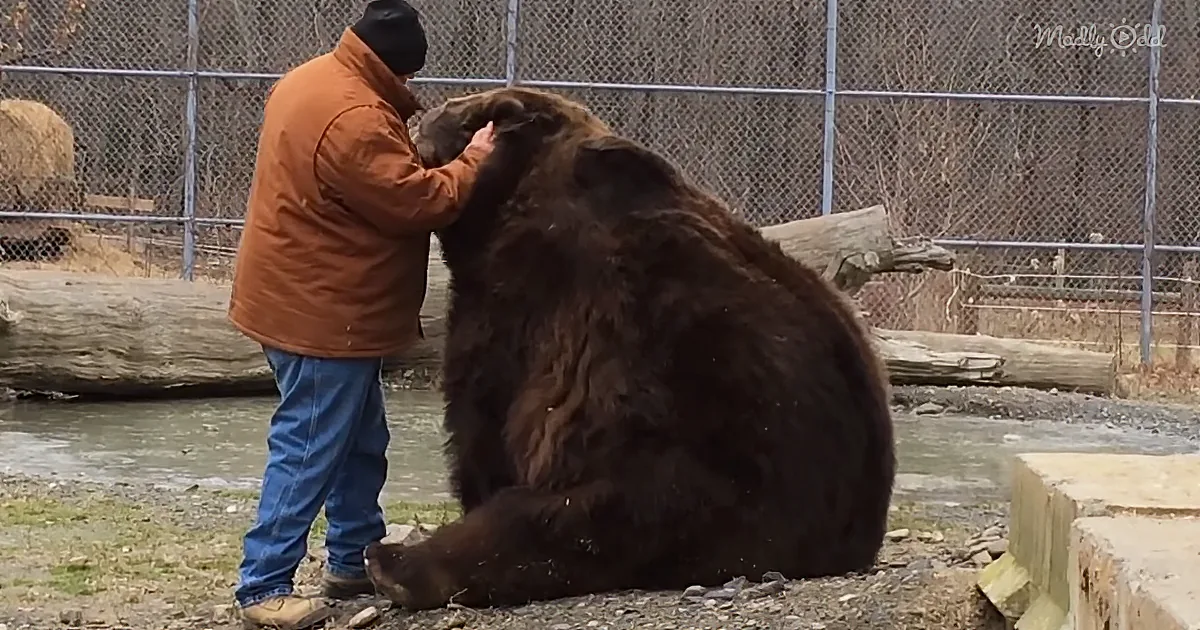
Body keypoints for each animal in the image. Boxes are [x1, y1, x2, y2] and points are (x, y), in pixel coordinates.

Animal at [363, 86, 897, 611]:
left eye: (457, 111)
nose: (420, 119)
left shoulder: (526, 303)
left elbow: (487, 417)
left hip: (715, 465)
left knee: (570, 518)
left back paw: (396, 563)